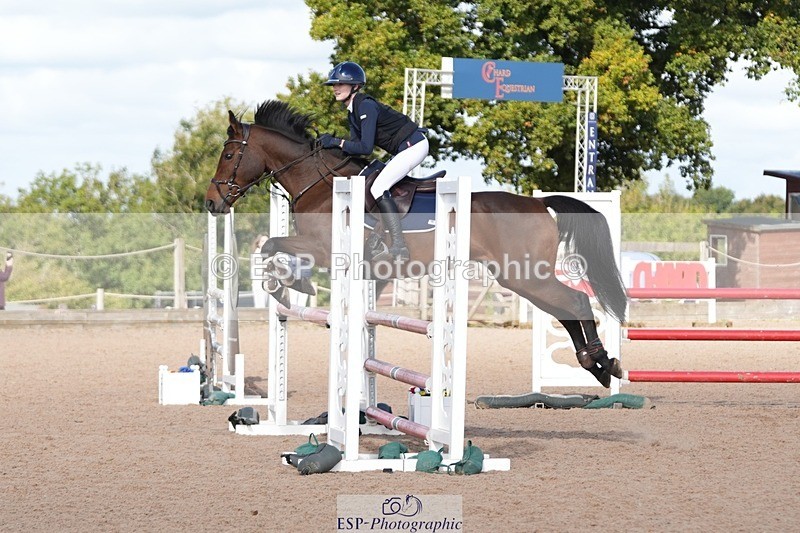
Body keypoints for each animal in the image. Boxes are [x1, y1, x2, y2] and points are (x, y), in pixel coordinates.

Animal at [205, 100, 627, 387]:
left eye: (229, 154)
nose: (212, 203)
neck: (319, 183)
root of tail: (538, 203)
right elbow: (275, 249)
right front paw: (291, 285)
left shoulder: (324, 248)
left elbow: (271, 247)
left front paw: (288, 285)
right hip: (519, 278)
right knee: (566, 310)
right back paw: (597, 366)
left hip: (526, 276)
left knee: (576, 302)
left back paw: (604, 363)